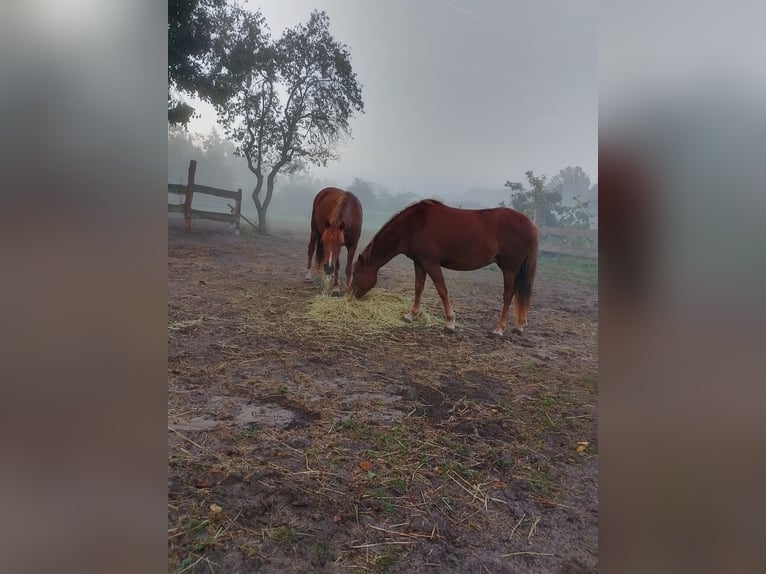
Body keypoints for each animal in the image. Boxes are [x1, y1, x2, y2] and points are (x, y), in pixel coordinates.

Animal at [352, 201, 536, 338]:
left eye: (355, 273)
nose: (351, 295)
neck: (413, 224)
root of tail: (531, 225)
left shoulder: (431, 263)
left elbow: (442, 290)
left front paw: (450, 323)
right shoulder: (419, 263)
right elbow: (418, 288)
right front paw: (411, 315)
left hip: (509, 268)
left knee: (508, 295)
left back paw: (499, 329)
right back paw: (519, 326)